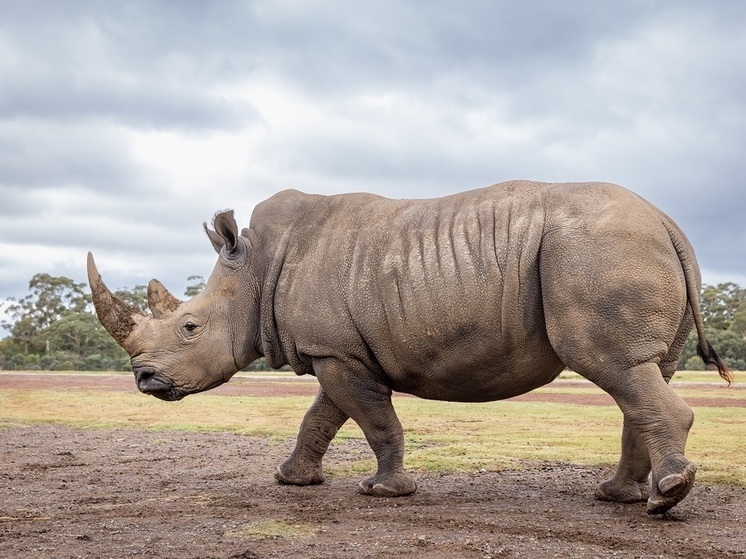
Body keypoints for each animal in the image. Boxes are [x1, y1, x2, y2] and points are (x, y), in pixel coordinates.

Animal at [85, 180, 728, 516]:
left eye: (189, 327)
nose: (144, 381)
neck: (256, 271)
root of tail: (669, 223)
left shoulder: (336, 352)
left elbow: (373, 420)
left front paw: (383, 491)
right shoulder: (337, 349)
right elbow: (322, 417)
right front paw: (292, 481)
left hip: (596, 251)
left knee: (614, 367)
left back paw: (665, 500)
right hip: (617, 249)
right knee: (640, 373)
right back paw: (620, 498)